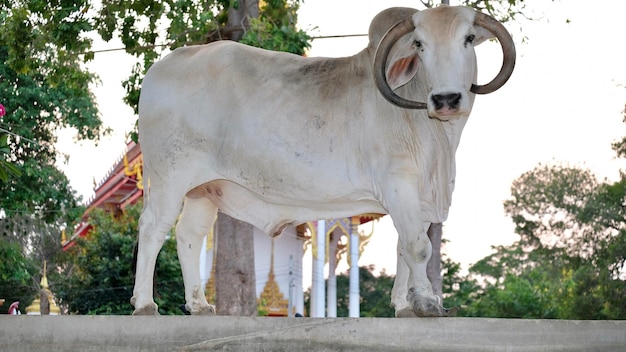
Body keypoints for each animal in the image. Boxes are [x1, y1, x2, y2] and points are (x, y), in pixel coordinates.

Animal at [130, 5, 512, 318]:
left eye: (469, 38)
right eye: (419, 43)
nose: (446, 99)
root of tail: (160, 67)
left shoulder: (420, 196)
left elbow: (404, 246)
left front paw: (405, 306)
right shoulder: (399, 184)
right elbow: (418, 247)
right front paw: (427, 303)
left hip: (204, 189)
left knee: (188, 235)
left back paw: (199, 304)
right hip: (169, 177)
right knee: (152, 228)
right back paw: (145, 305)